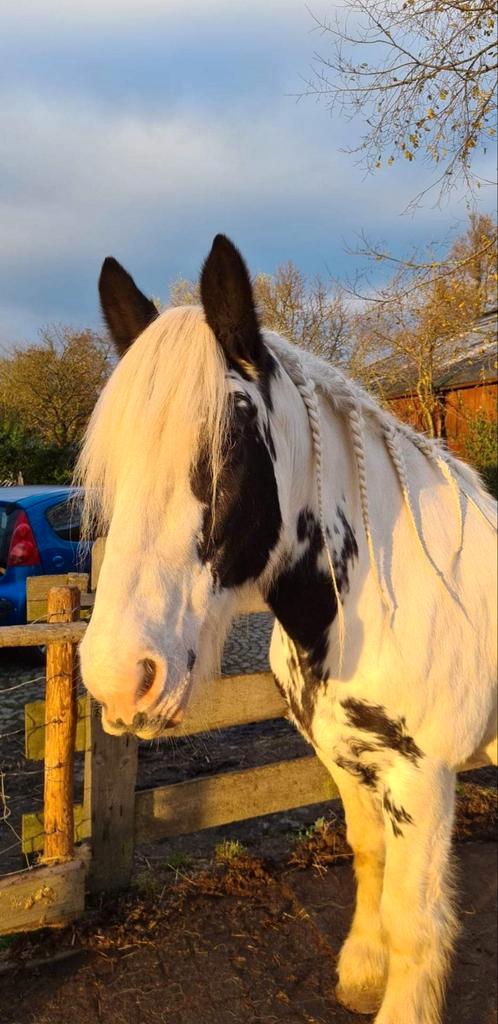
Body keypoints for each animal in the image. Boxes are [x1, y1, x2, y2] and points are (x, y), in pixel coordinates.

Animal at [77, 234, 497, 1024]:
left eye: (226, 450)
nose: (121, 677)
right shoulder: (345, 760)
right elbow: (367, 858)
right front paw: (362, 972)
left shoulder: (423, 779)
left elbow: (415, 918)